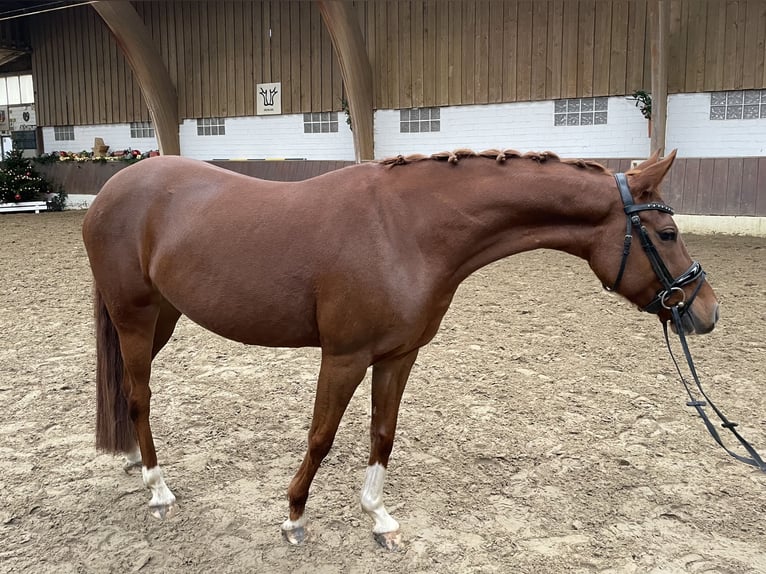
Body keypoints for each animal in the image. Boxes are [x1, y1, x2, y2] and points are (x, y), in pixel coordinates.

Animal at [82, 150, 720, 552]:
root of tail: (113, 189)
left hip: (163, 317)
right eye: (666, 234)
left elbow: (382, 434)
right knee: (139, 395)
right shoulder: (343, 356)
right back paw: (158, 489)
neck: (405, 230)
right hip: (135, 317)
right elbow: (322, 436)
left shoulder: (398, 355)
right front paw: (293, 518)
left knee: (133, 393)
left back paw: (137, 463)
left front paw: (379, 519)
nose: (705, 311)